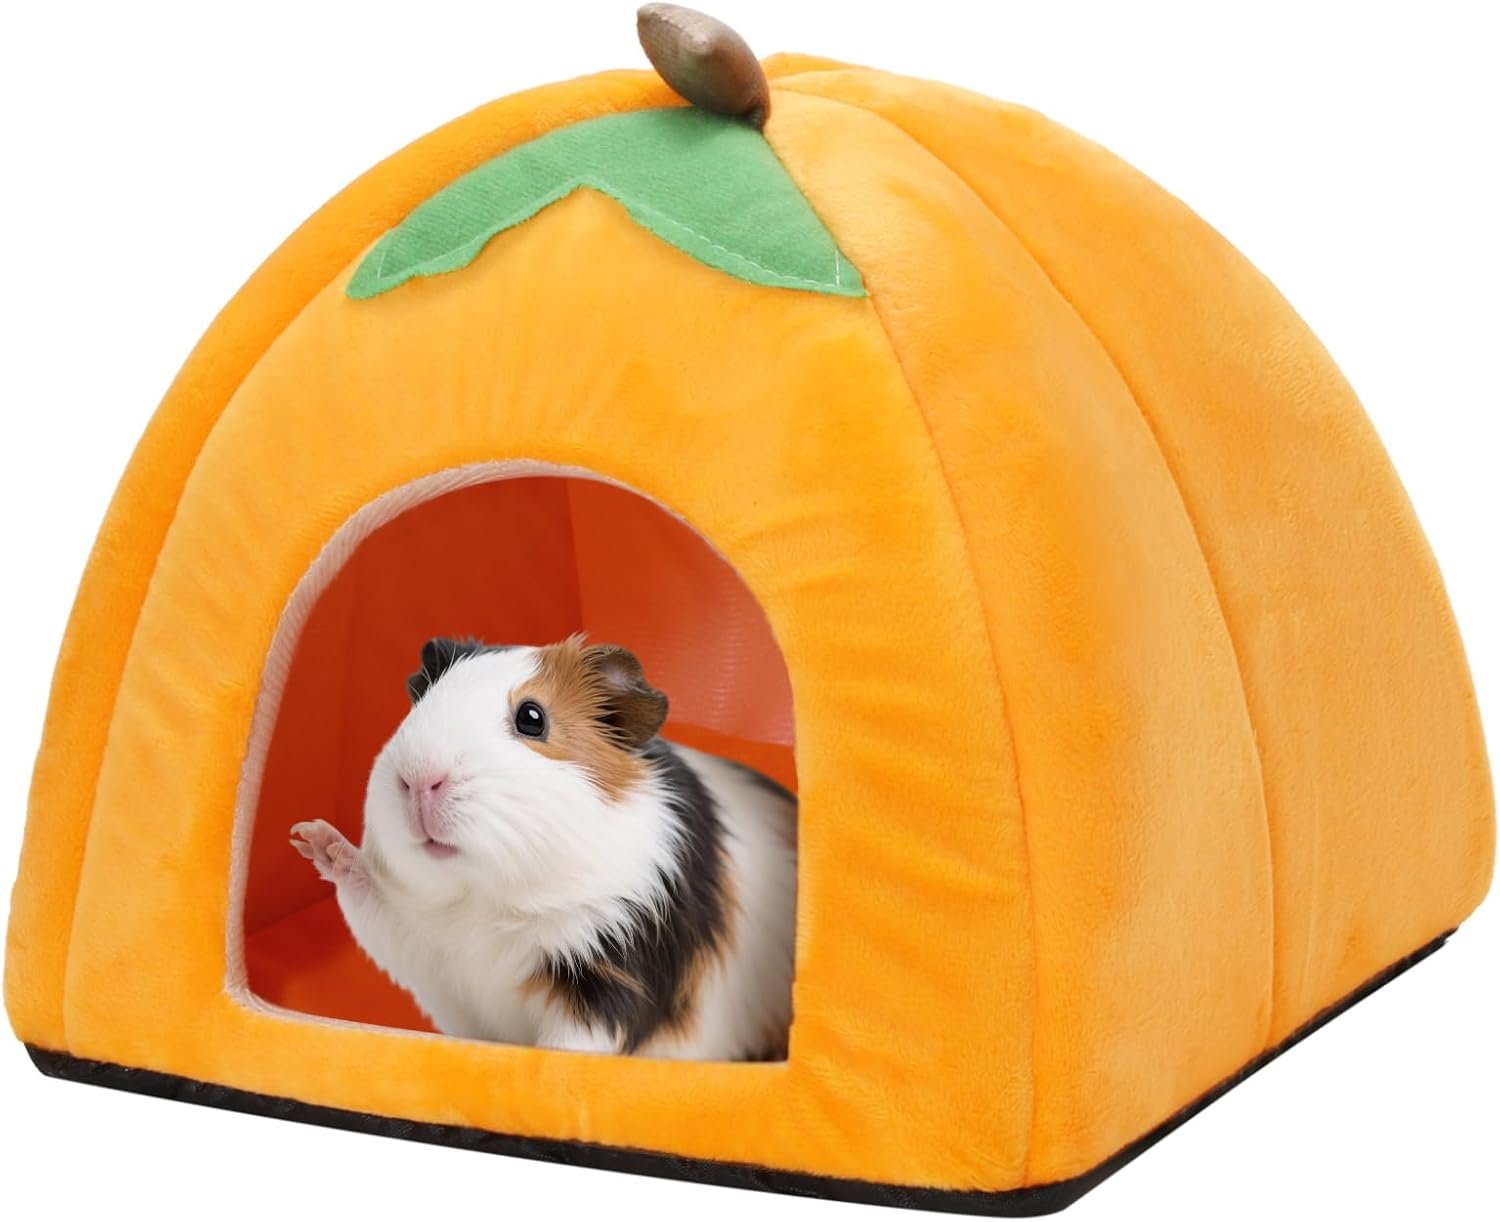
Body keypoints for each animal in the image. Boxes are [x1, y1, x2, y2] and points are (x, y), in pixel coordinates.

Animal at [290, 634, 796, 1061]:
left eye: (532, 718)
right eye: (420, 702)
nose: (418, 780)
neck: (484, 902)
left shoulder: (610, 977)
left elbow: (572, 1045)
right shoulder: (425, 955)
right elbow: (369, 902)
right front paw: (312, 837)